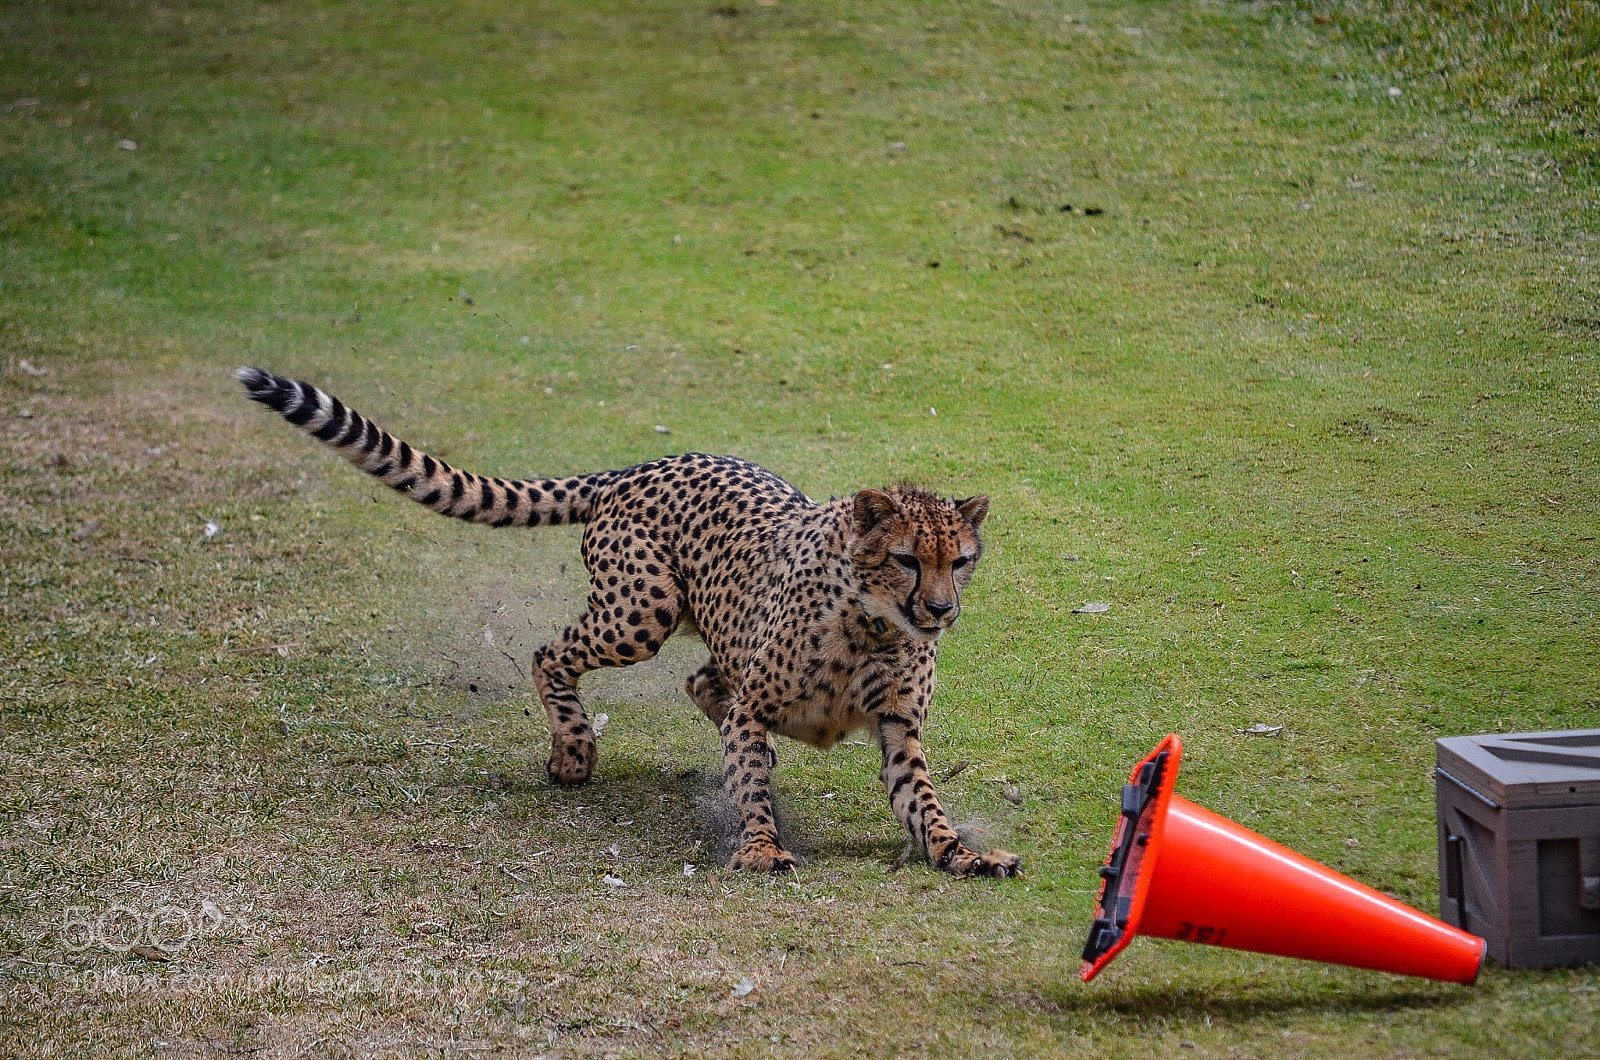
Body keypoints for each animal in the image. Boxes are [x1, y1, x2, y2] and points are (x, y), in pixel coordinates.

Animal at [237, 366, 1020, 878]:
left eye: (961, 561)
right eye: (906, 559)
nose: (941, 609)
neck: (874, 625)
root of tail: (639, 466)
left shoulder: (897, 724)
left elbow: (922, 799)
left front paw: (962, 852)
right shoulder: (759, 700)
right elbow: (749, 782)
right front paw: (760, 846)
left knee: (701, 681)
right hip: (643, 611)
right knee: (551, 652)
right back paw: (574, 750)